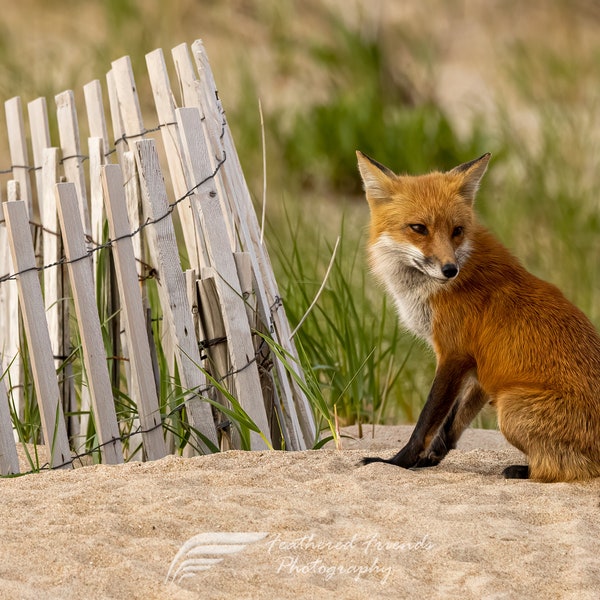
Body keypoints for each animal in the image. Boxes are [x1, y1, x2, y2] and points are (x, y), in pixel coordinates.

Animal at [356, 151, 600, 482]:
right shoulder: (479, 366)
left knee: (563, 469)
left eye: (457, 230)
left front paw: (396, 462)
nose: (450, 269)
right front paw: (429, 460)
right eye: (418, 228)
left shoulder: (453, 354)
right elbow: (452, 425)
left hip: (509, 408)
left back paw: (523, 470)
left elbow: (426, 422)